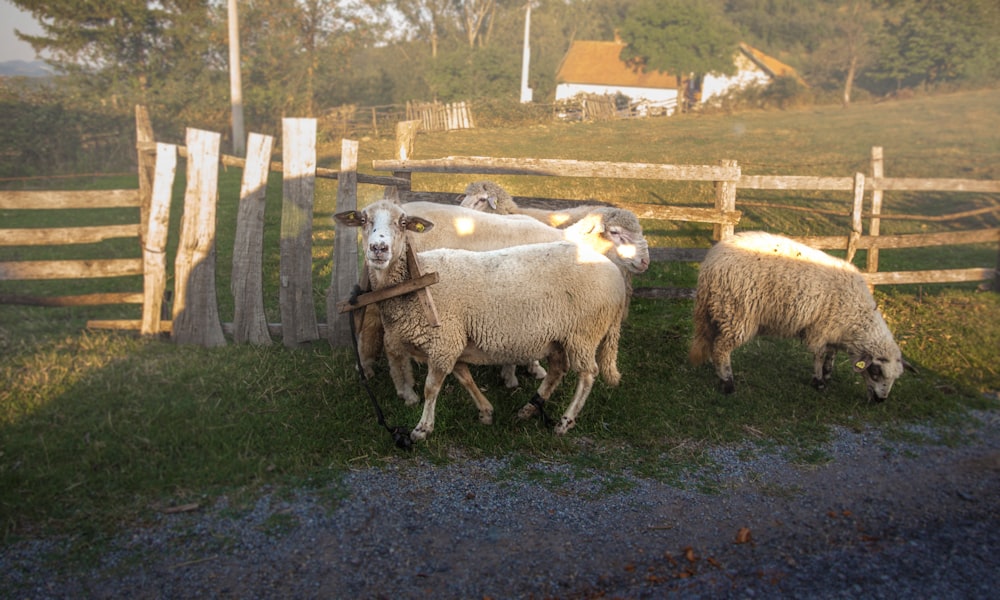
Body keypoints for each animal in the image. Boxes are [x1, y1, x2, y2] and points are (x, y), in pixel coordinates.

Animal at [340, 200, 628, 440]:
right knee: (558, 370)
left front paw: (422, 428)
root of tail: (617, 279)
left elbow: (431, 388)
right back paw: (530, 408)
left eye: (402, 223)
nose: (378, 248)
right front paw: (486, 411)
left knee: (588, 374)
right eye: (363, 220)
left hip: (584, 334)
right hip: (559, 336)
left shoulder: (444, 342)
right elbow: (465, 377)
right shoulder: (453, 342)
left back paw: (565, 421)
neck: (413, 282)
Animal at [692, 231, 912, 404]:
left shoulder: (834, 332)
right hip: (737, 313)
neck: (857, 319)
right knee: (721, 348)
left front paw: (828, 375)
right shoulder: (820, 329)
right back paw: (727, 383)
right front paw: (819, 382)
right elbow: (819, 355)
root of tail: (711, 262)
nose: (880, 400)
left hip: (719, 309)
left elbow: (831, 355)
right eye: (875, 372)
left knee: (713, 342)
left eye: (894, 378)